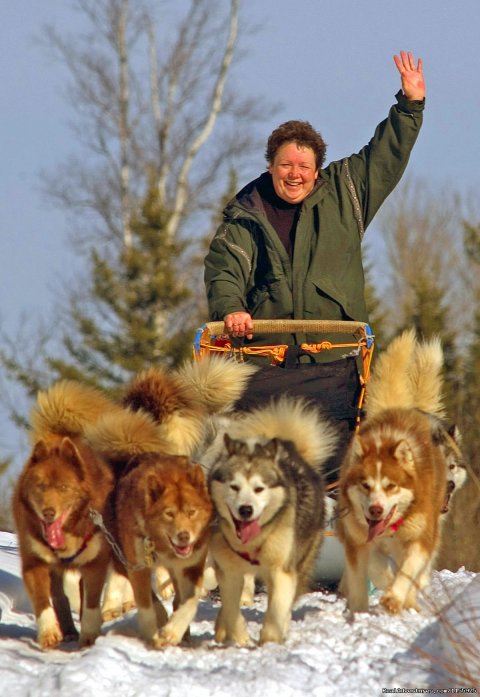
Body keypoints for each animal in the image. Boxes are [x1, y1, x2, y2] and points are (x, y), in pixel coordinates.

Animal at [206, 400, 338, 644]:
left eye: (260, 488)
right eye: (234, 486)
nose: (245, 510)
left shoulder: (281, 571)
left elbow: (277, 610)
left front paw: (270, 642)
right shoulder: (230, 572)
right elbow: (231, 609)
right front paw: (239, 637)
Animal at [338, 328, 464, 612]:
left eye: (452, 466)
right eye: (365, 484)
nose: (449, 484)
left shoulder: (424, 533)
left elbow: (412, 569)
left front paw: (401, 597)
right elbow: (377, 565)